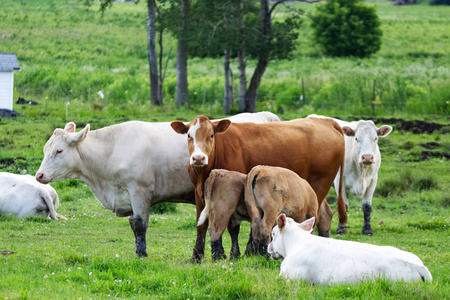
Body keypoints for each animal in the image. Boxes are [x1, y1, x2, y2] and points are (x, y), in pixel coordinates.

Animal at [35, 112, 280, 258]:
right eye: (46, 148)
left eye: (59, 150)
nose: (39, 175)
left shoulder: (139, 191)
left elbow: (139, 225)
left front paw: (141, 254)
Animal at [171, 116, 346, 262]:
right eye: (189, 135)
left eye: (212, 135)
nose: (198, 158)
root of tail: (326, 121)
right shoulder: (199, 195)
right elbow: (201, 226)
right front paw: (196, 256)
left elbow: (231, 228)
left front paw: (235, 254)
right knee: (324, 216)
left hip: (318, 188)